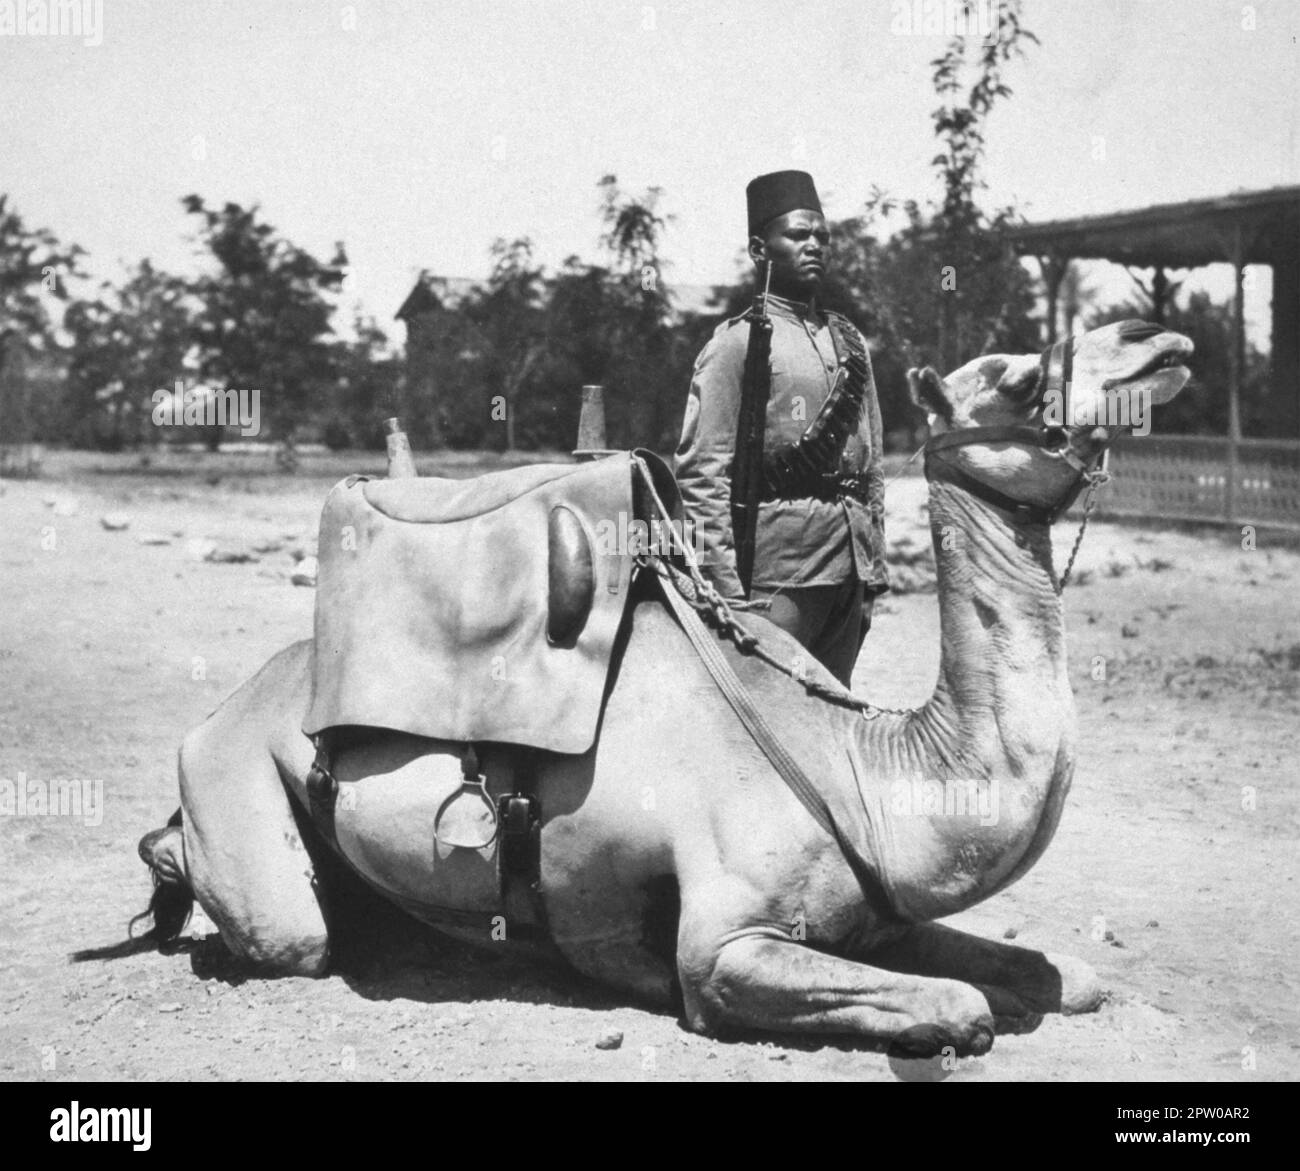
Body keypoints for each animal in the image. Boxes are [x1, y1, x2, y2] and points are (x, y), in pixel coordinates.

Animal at [137, 319, 1190, 1060]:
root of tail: (219, 711)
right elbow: (964, 1006)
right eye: (1016, 375)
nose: (1161, 338)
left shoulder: (879, 913)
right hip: (240, 792)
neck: (860, 768)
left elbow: (1064, 974)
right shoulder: (723, 946)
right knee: (289, 934)